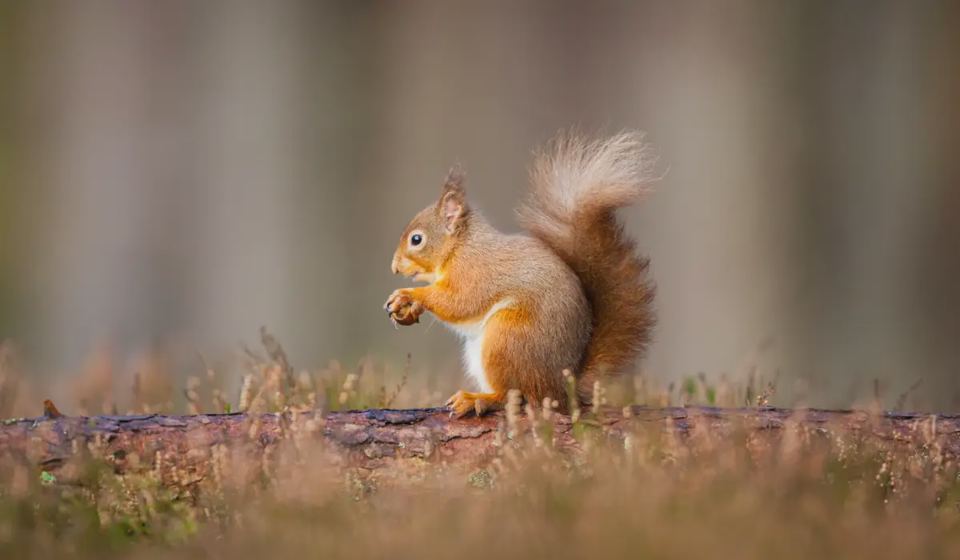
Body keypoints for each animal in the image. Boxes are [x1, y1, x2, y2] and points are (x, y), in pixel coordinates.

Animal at [385, 132, 656, 417]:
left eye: (416, 239)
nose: (394, 267)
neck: (460, 248)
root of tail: (561, 389)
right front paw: (407, 309)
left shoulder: (476, 272)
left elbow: (459, 302)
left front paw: (409, 295)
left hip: (507, 339)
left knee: (513, 395)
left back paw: (476, 399)